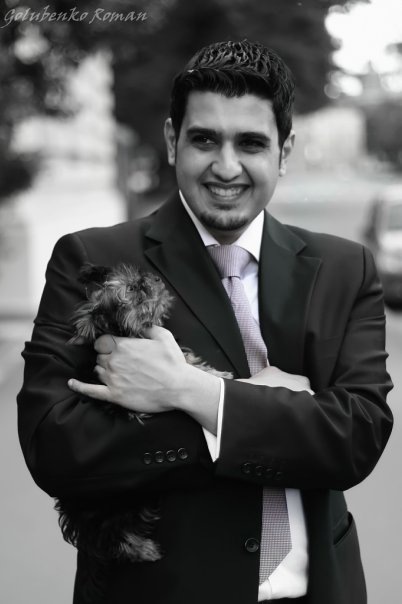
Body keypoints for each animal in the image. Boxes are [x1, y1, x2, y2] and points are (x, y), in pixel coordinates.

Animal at [56, 263, 232, 565]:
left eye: (139, 279)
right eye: (134, 290)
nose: (156, 279)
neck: (130, 334)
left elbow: (189, 361)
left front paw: (216, 374)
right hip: (117, 502)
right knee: (110, 534)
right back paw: (143, 550)